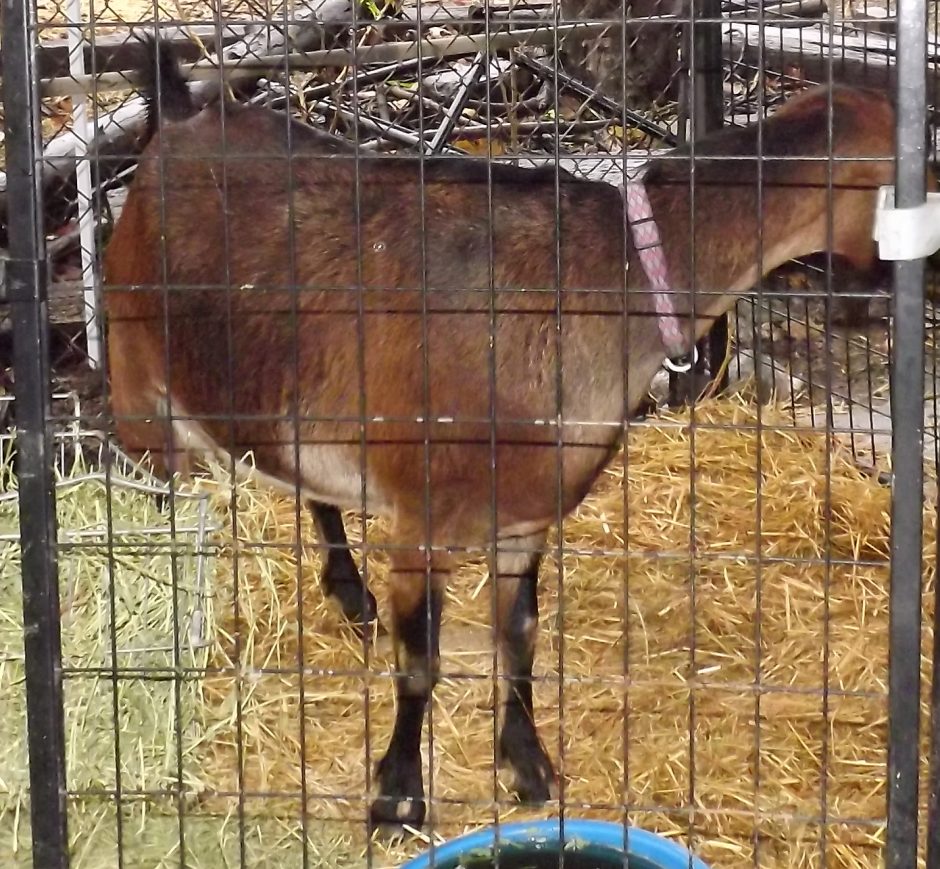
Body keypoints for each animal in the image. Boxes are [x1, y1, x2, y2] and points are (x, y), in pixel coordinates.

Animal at [105, 37, 926, 831]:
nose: (884, 295)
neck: (613, 275)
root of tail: (180, 120)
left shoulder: (524, 519)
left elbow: (521, 635)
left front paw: (528, 766)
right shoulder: (424, 522)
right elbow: (421, 662)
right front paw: (397, 797)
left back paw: (347, 589)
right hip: (138, 380)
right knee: (151, 484)